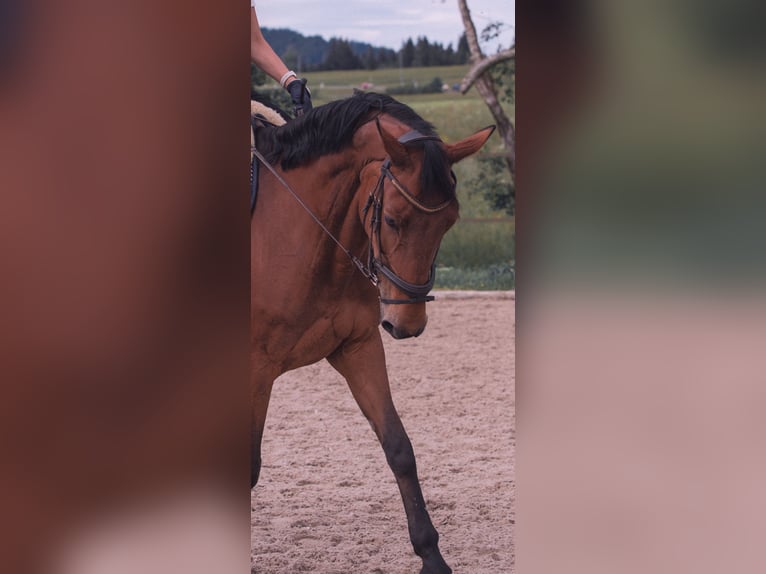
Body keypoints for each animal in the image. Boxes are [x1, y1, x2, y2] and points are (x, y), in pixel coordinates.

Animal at [251, 91, 494, 574]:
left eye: (449, 222)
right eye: (395, 220)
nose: (408, 325)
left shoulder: (358, 347)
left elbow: (398, 446)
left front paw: (432, 556)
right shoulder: (255, 369)